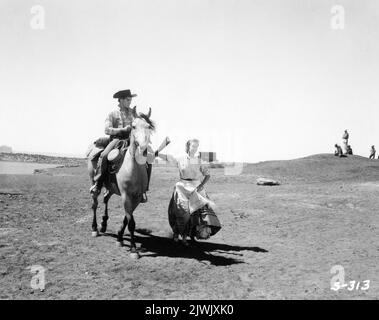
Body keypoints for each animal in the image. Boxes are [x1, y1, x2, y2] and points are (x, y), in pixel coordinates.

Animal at [87, 106, 154, 258]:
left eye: (148, 127)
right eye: (133, 126)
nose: (143, 148)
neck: (133, 169)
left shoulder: (137, 197)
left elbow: (127, 218)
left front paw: (119, 237)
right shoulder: (125, 195)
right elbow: (131, 222)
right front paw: (134, 249)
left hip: (111, 188)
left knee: (105, 198)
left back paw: (104, 224)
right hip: (94, 182)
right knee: (95, 203)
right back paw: (95, 228)